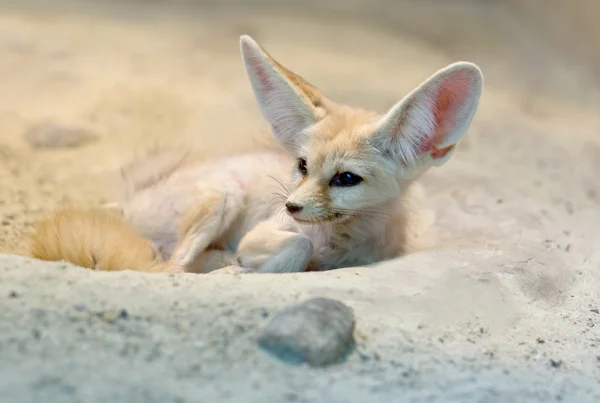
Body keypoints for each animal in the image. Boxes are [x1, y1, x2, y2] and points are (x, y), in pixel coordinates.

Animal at [30, 35, 486, 274]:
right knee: (171, 266)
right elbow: (296, 248)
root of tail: (130, 201)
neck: (342, 242)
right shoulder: (266, 233)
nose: (291, 206)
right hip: (223, 194)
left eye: (346, 179)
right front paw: (242, 262)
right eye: (302, 166)